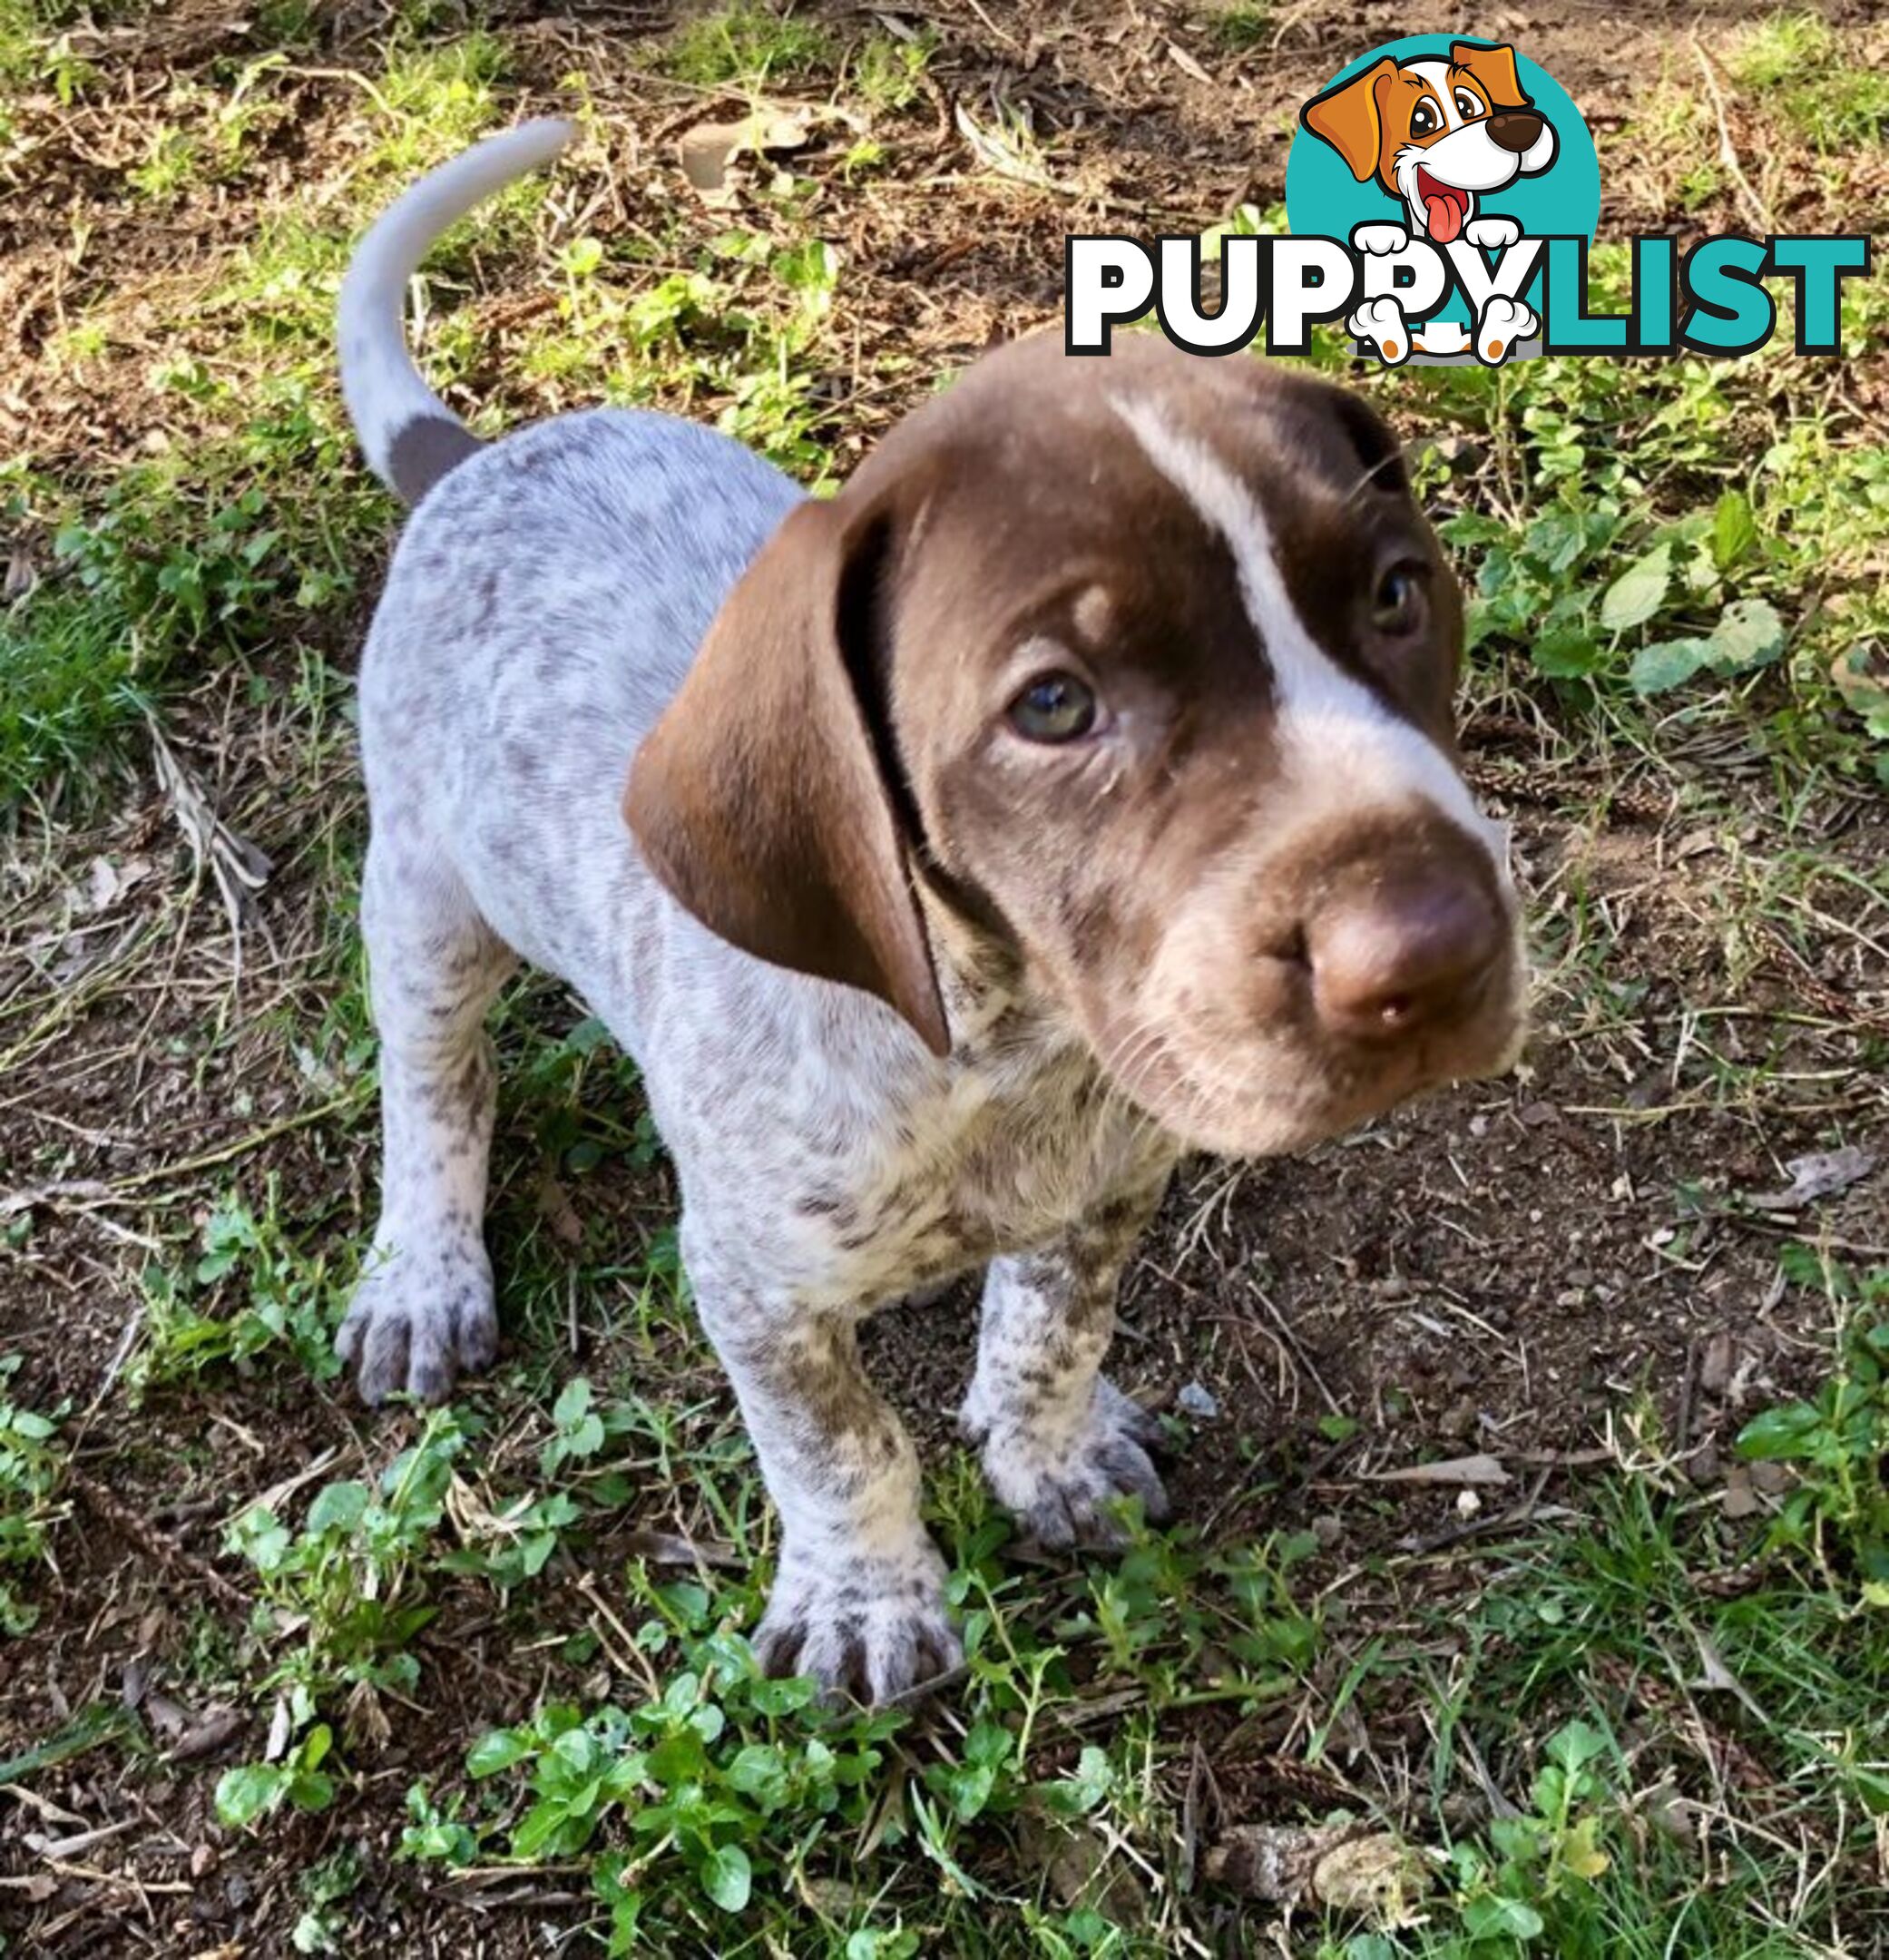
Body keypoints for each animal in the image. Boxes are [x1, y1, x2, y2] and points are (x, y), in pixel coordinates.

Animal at [330, 122, 1528, 1709]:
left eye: (1398, 592)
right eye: (1053, 705)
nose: (1433, 952)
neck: (999, 1046)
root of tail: (477, 461)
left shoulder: (1108, 1180)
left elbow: (1050, 1329)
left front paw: (1048, 1453)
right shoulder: (749, 1279)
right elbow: (838, 1446)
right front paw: (867, 1598)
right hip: (425, 889)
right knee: (433, 1079)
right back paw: (422, 1269)